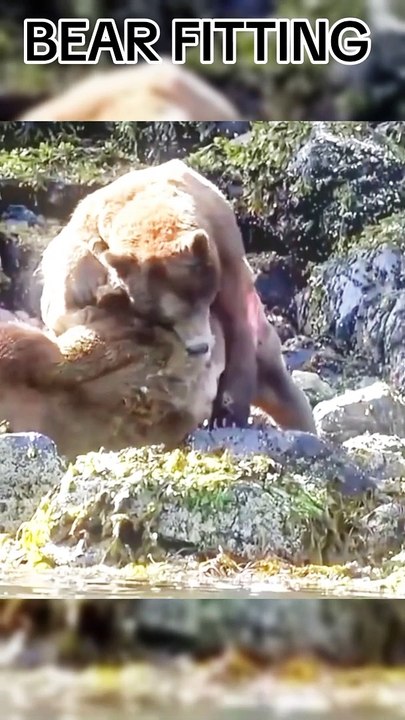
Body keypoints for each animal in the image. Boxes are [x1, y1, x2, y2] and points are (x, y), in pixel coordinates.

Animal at [40, 159, 316, 434]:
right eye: (164, 318)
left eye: (204, 301)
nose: (199, 347)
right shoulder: (78, 269)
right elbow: (72, 317)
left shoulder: (225, 249)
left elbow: (237, 322)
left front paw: (228, 412)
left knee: (283, 391)